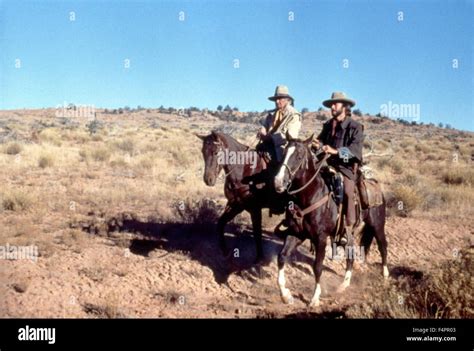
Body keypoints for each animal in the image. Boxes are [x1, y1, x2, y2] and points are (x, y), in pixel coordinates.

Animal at [196, 131, 288, 262]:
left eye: (216, 152)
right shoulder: (235, 205)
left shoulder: (255, 209)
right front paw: (225, 251)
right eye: (203, 151)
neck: (245, 170)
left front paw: (259, 258)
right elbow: (220, 224)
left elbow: (257, 232)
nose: (208, 180)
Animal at [272, 138, 386, 308]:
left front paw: (314, 298)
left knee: (383, 246)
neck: (311, 196)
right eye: (284, 152)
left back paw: (385, 275)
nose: (278, 182)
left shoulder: (321, 238)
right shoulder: (296, 233)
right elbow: (282, 257)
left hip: (377, 225)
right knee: (350, 254)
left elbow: (317, 267)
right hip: (351, 233)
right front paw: (286, 295)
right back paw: (344, 284)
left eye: (299, 156)